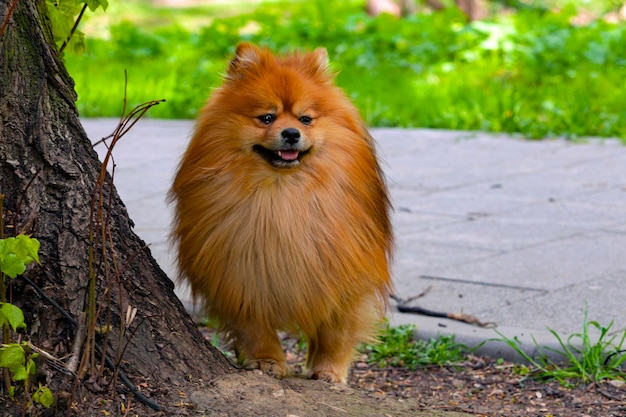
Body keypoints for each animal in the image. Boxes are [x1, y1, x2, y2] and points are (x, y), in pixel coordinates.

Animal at [168, 43, 392, 384]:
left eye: (306, 119)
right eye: (266, 117)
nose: (291, 133)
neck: (283, 195)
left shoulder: (347, 272)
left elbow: (337, 331)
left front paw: (329, 370)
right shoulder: (239, 273)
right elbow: (254, 326)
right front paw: (267, 360)